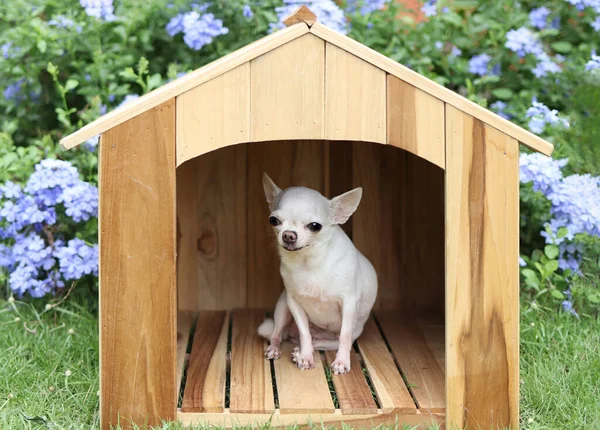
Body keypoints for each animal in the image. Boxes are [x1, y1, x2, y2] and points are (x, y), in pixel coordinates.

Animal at [256, 173, 378, 374]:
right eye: (273, 220)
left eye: (315, 226)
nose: (288, 235)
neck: (309, 263)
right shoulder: (294, 303)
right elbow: (304, 333)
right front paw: (306, 357)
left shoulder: (349, 304)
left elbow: (344, 336)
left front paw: (342, 362)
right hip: (283, 308)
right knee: (279, 334)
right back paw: (278, 349)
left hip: (349, 333)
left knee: (328, 341)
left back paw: (301, 349)